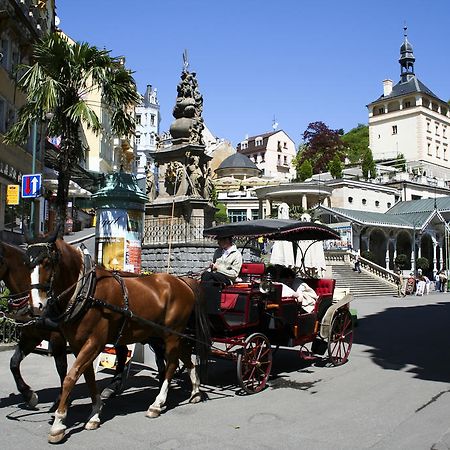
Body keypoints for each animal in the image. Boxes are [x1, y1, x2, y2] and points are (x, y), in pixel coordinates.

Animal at [25, 236, 212, 442]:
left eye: (47, 263)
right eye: (27, 264)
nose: (36, 306)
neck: (88, 292)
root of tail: (182, 281)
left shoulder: (94, 343)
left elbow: (70, 377)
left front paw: (59, 424)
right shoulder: (78, 345)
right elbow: (89, 377)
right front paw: (95, 413)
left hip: (171, 335)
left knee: (172, 364)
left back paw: (157, 403)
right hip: (168, 335)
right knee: (187, 359)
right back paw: (195, 391)